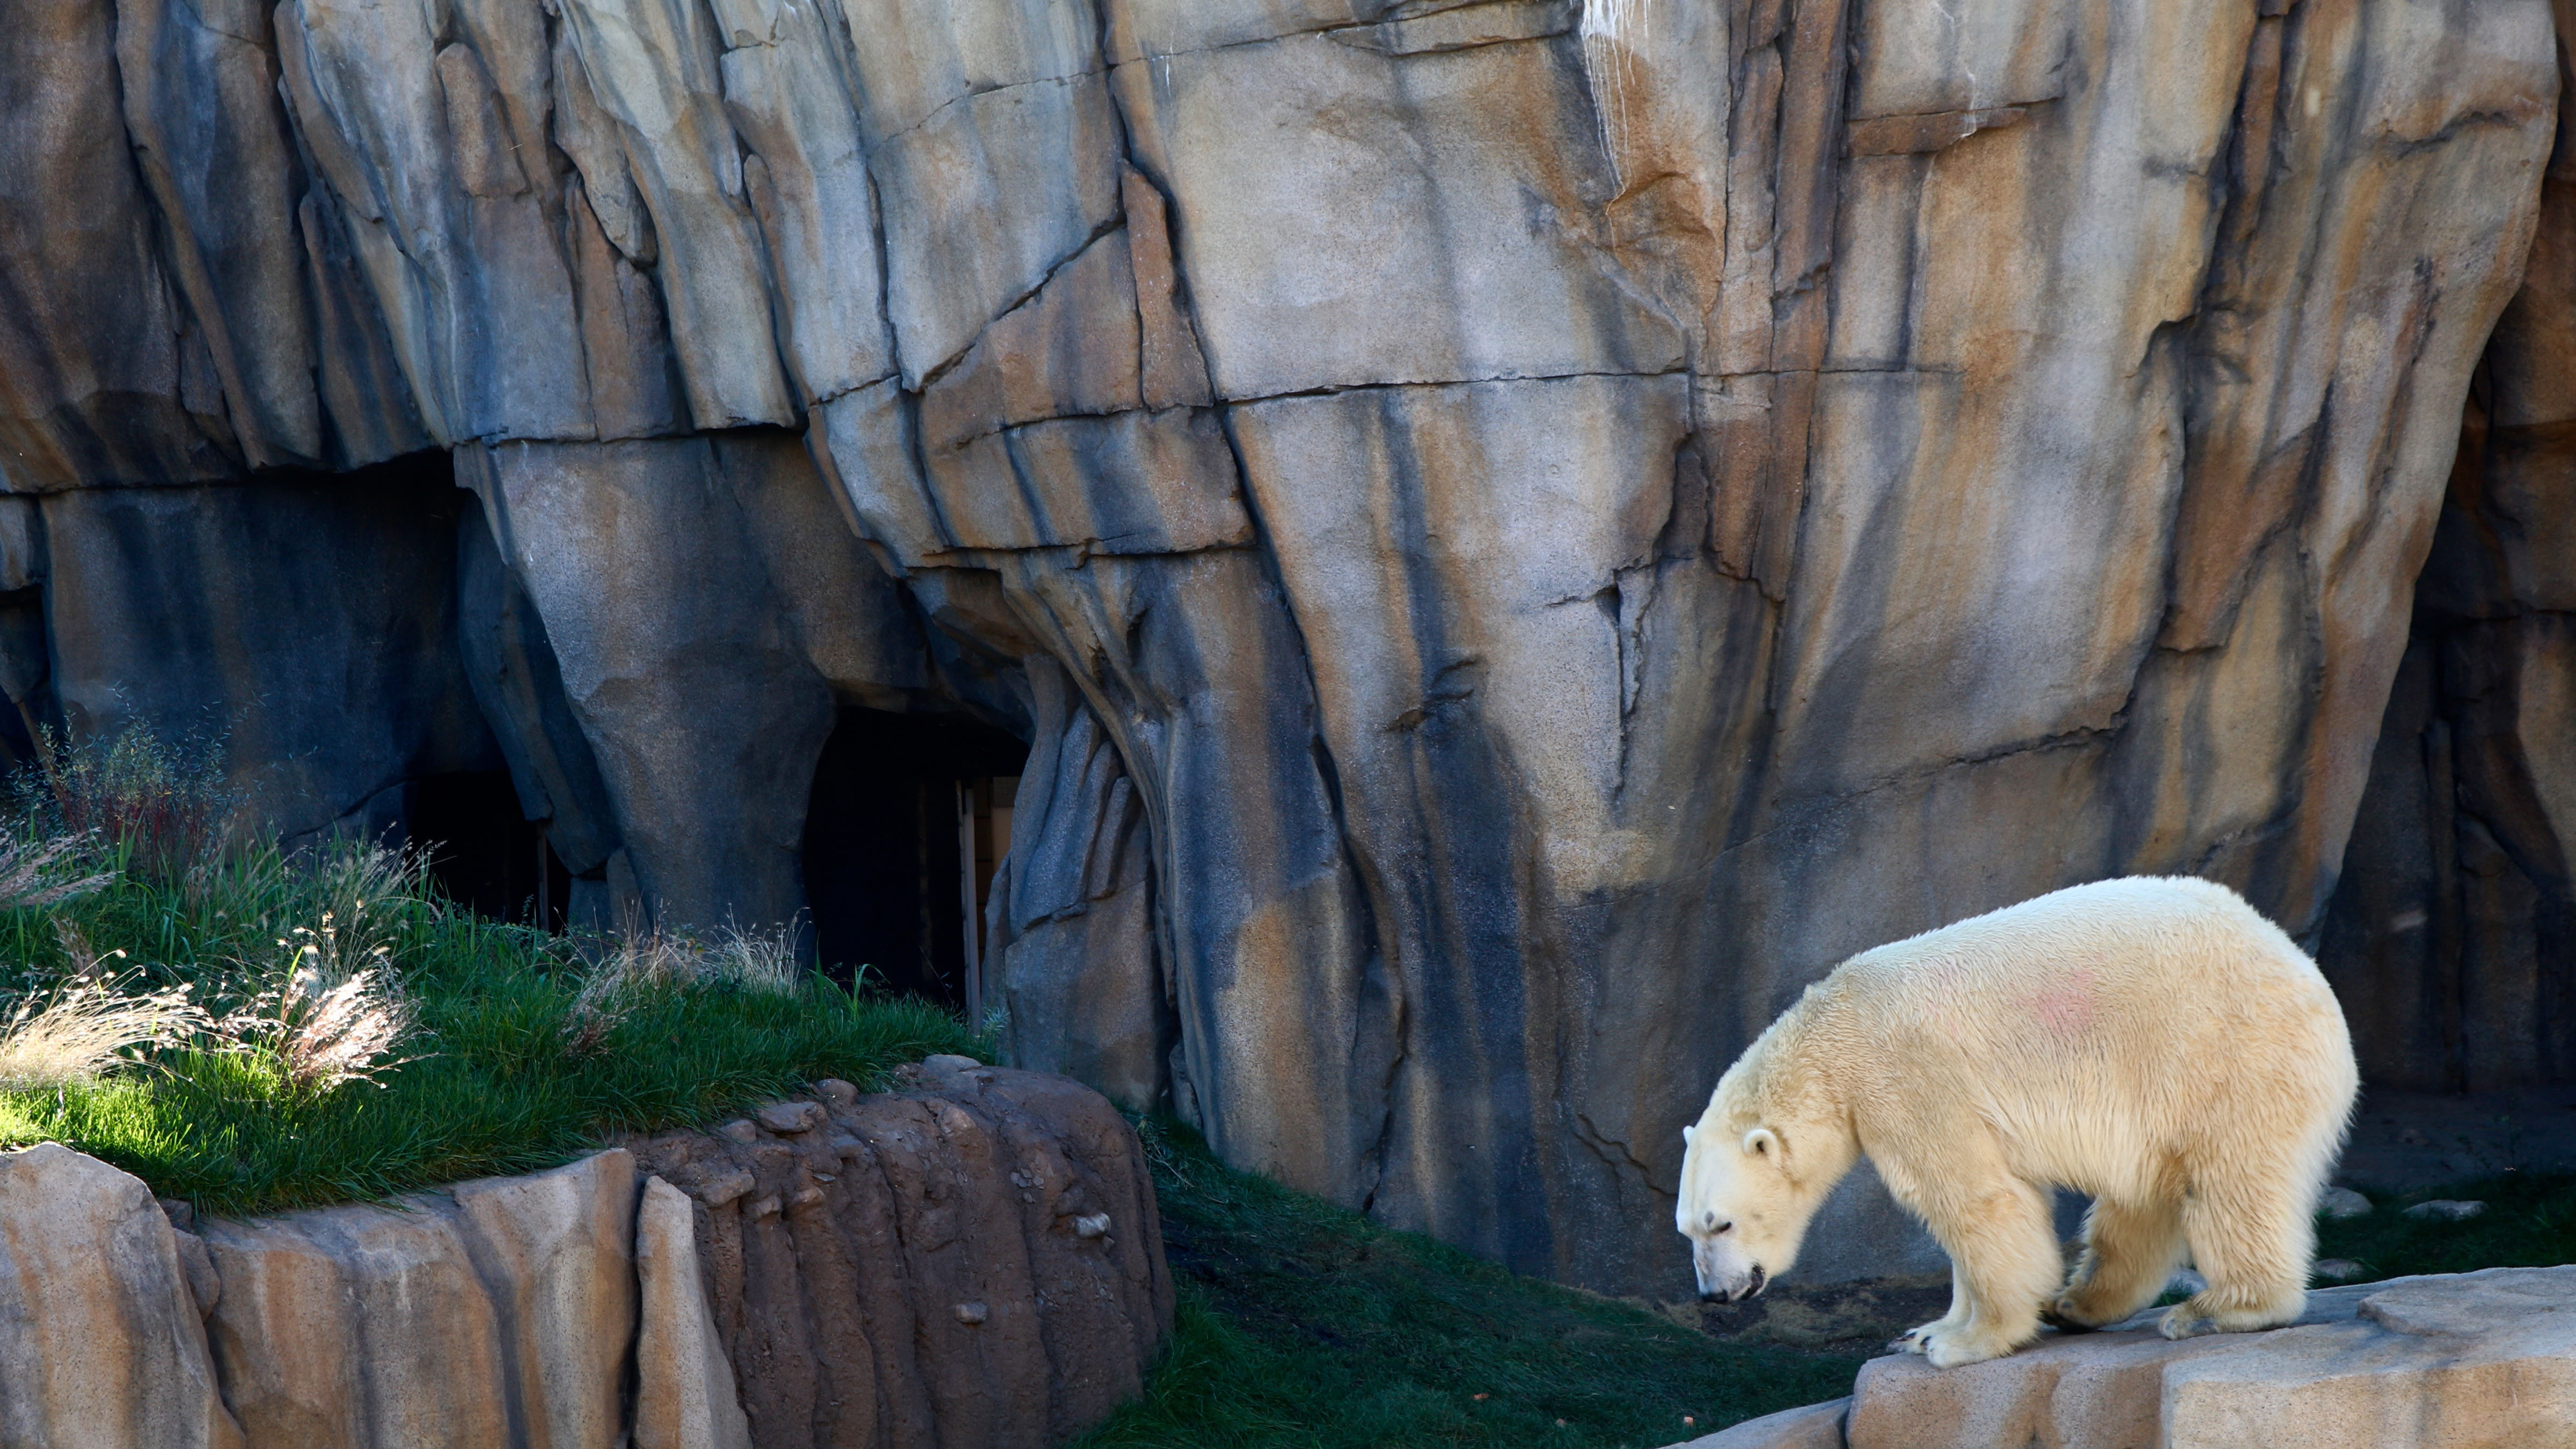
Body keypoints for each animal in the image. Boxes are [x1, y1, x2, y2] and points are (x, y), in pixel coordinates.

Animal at [1679, 866, 2359, 1361]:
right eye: (1689, 1230)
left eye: (1723, 1224)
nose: (1715, 1294)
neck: (1834, 1032)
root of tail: (2304, 969)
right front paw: (1928, 1329)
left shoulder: (1906, 1077)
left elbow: (1973, 1199)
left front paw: (1966, 1342)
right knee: (2142, 1198)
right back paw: (2081, 1303)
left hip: (2225, 1057)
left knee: (2231, 1183)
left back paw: (2216, 1310)